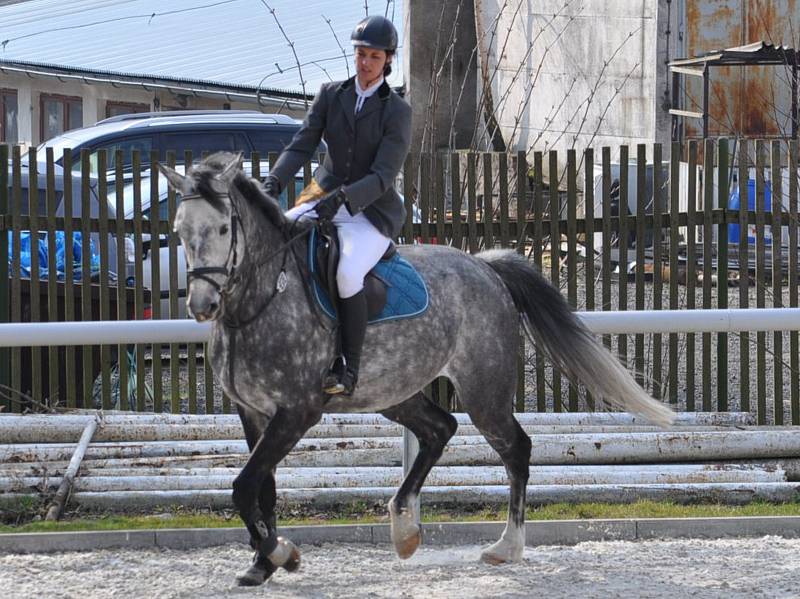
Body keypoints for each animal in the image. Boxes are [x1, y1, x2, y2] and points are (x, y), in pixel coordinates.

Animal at [159, 152, 672, 588]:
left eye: (223, 228)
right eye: (180, 229)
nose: (202, 305)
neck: (259, 303)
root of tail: (485, 268)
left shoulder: (297, 412)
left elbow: (244, 486)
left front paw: (281, 553)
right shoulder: (254, 412)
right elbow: (261, 488)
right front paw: (264, 561)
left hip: (484, 393)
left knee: (516, 449)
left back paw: (506, 546)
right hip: (397, 393)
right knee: (439, 429)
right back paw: (405, 528)